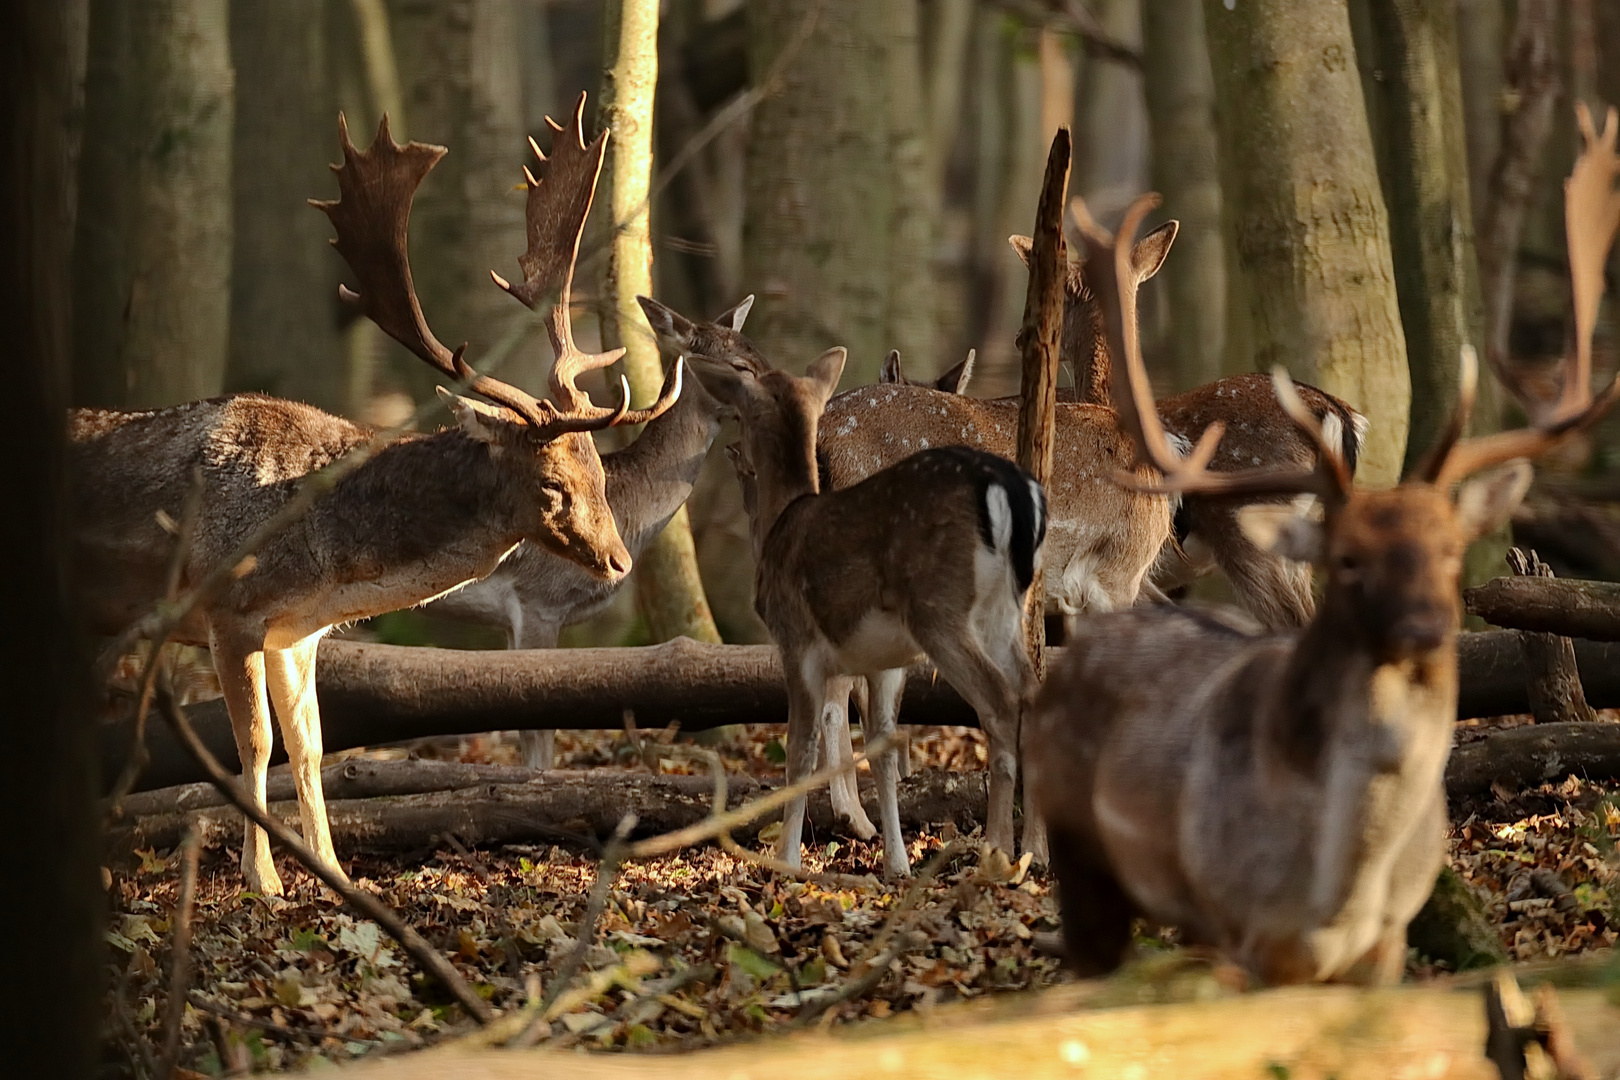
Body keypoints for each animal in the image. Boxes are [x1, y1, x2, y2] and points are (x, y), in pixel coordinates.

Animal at [68, 95, 677, 893]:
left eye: (601, 475)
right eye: (551, 484)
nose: (618, 561)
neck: (327, 557)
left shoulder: (297, 632)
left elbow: (309, 745)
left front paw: (332, 871)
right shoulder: (228, 609)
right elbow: (253, 744)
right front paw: (265, 882)